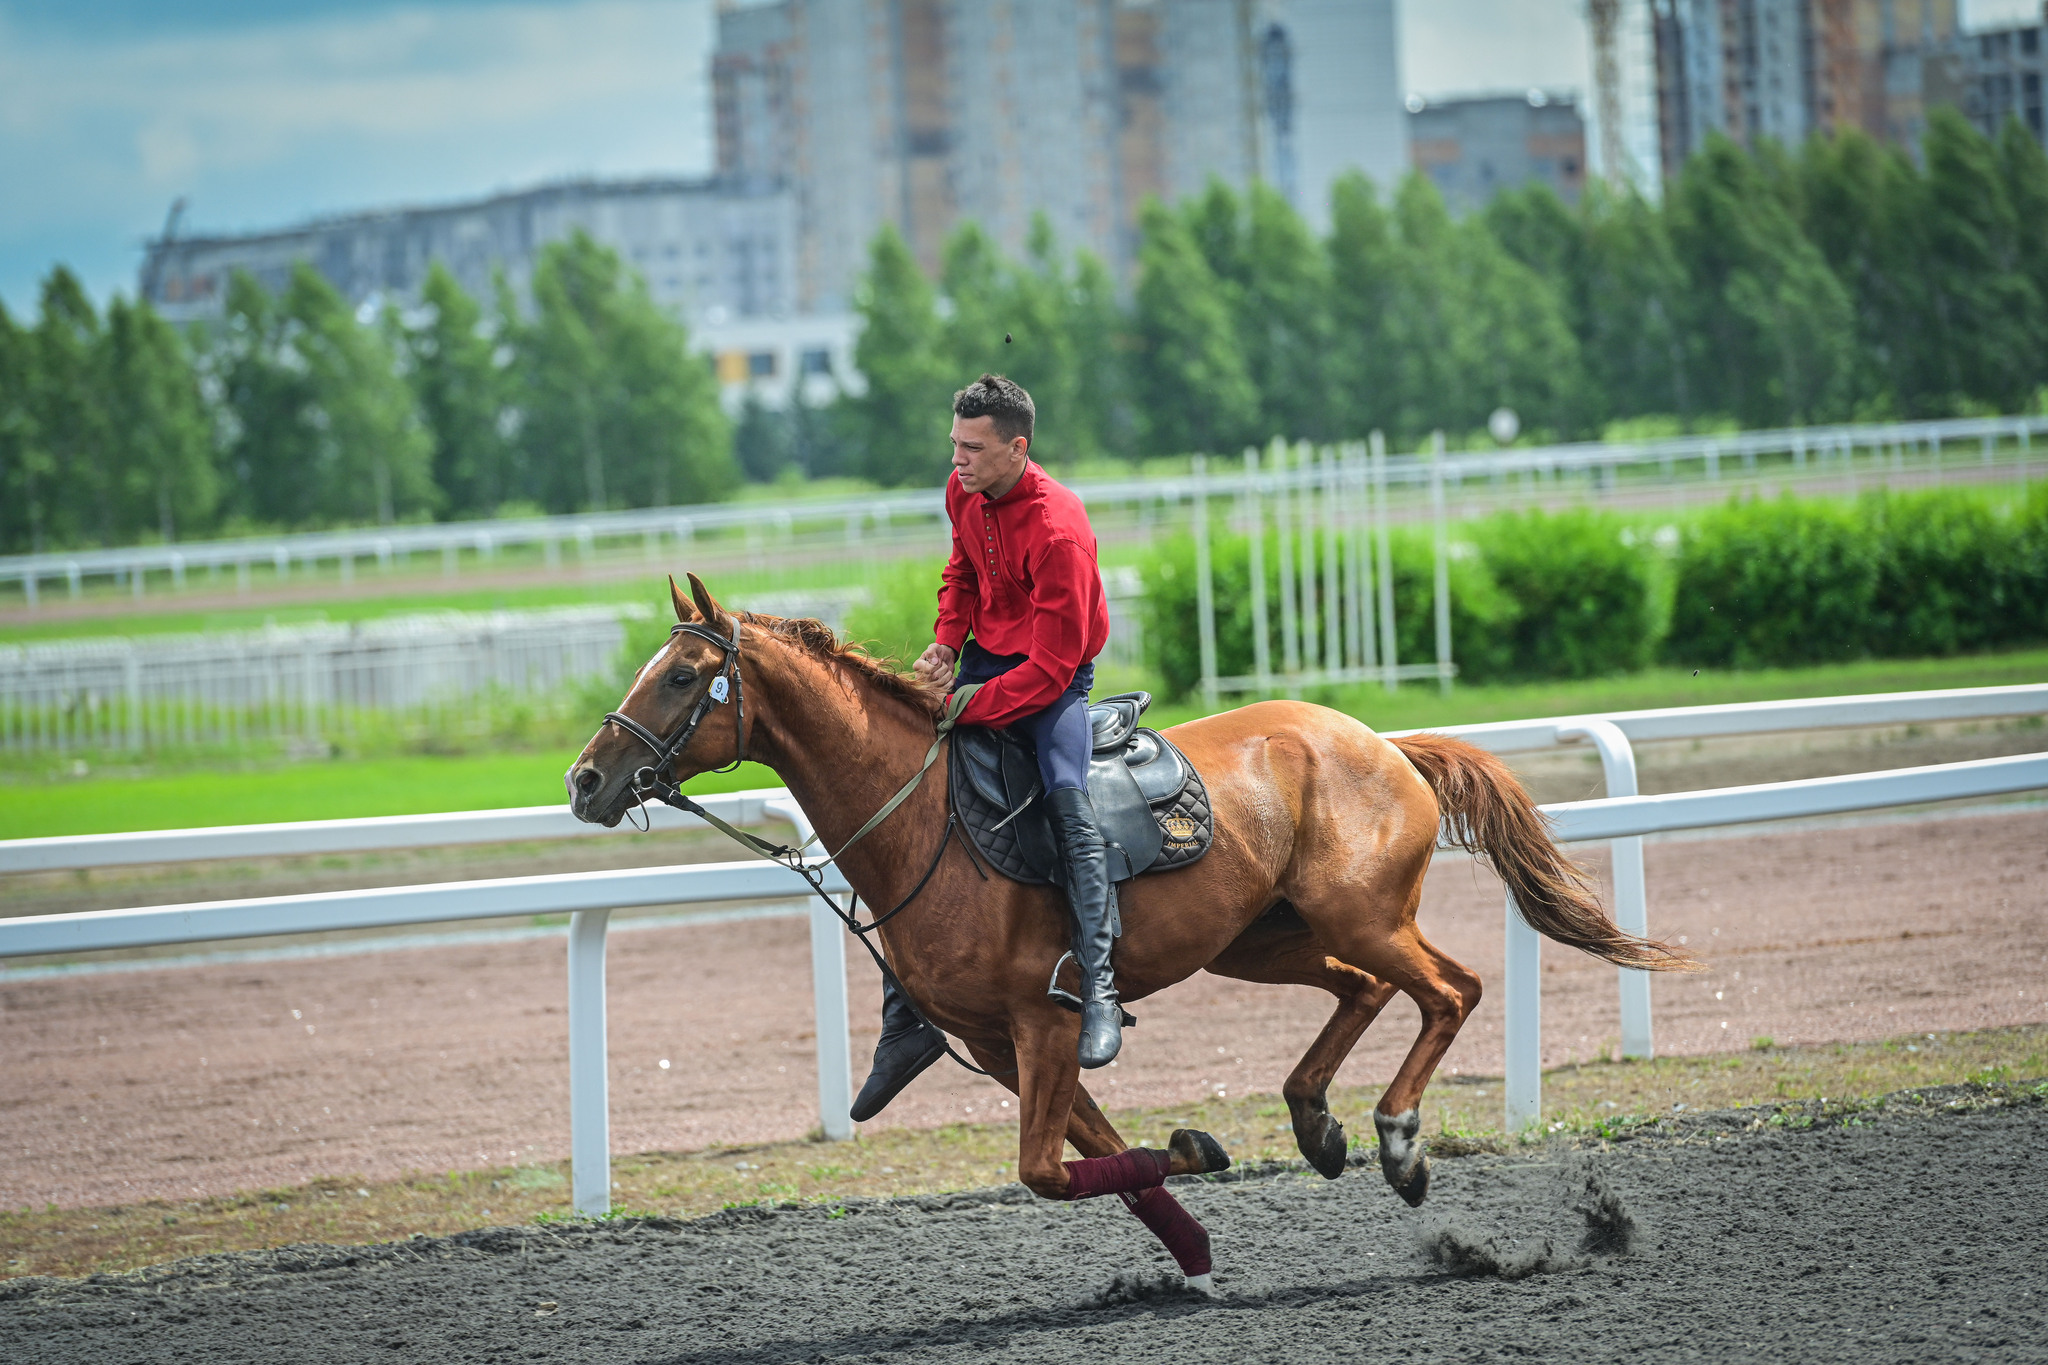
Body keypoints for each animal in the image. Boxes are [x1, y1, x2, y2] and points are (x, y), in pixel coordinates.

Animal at [569, 577, 1687, 1293]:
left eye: (681, 677)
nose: (585, 779)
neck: (928, 818)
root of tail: (1383, 742)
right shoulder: (1000, 1043)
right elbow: (1093, 1159)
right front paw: (1189, 1236)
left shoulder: (1049, 1023)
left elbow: (1046, 1170)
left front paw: (1197, 1163)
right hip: (1260, 939)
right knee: (1362, 991)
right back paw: (1314, 1122)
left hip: (1362, 915)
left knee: (1449, 989)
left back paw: (1396, 1140)